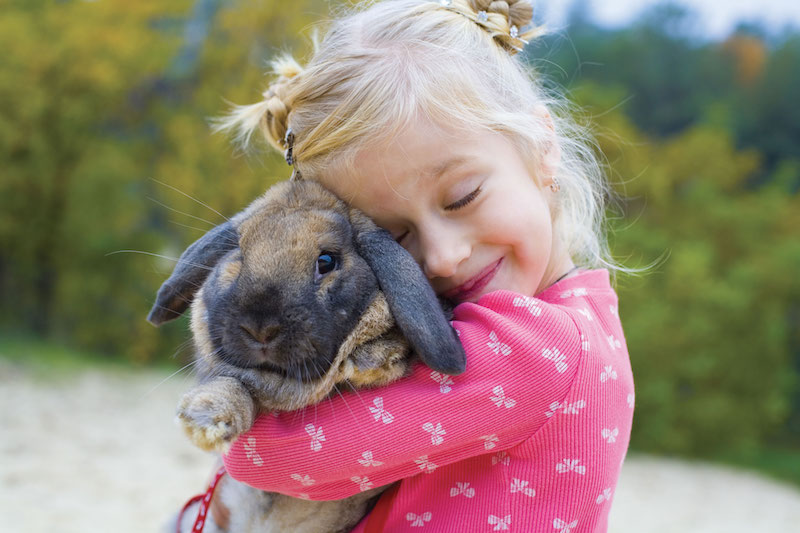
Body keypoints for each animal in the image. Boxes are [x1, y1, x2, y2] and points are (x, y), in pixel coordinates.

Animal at [147, 180, 466, 532]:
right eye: (240, 255)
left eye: (327, 261)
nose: (260, 328)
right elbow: (234, 385)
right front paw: (206, 419)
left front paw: (376, 357)